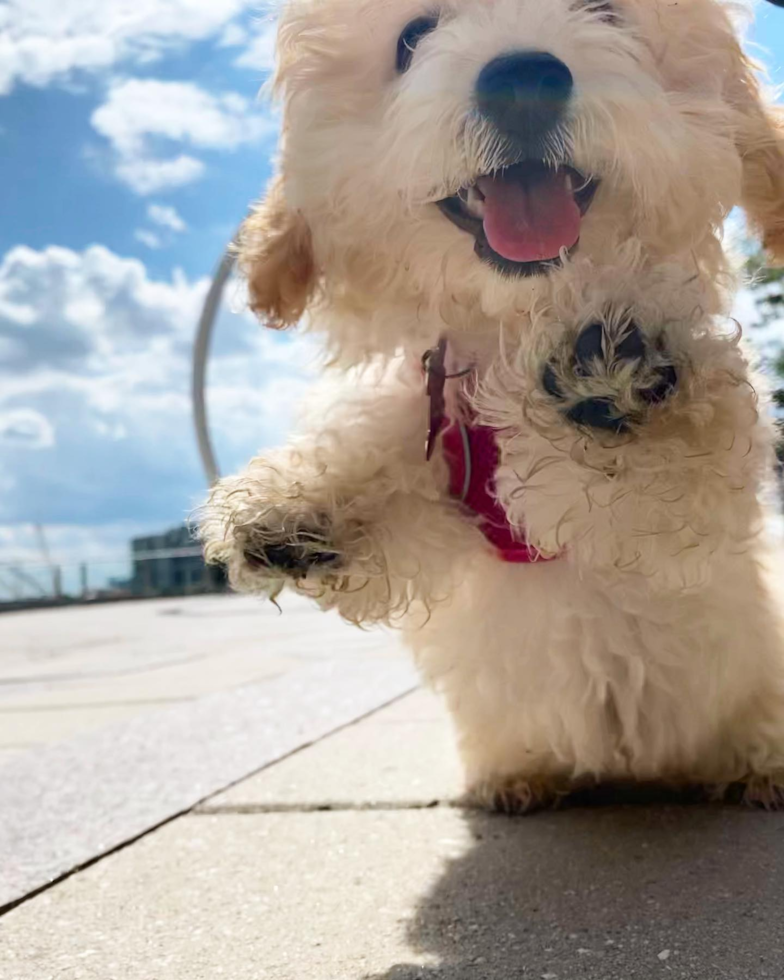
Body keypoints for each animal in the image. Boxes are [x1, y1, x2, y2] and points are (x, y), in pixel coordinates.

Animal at [198, 0, 784, 812]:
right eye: (413, 38)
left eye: (609, 14)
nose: (523, 81)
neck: (518, 324)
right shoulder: (438, 417)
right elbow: (387, 445)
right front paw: (297, 505)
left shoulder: (691, 513)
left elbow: (678, 463)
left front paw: (620, 370)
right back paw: (520, 774)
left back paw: (760, 766)